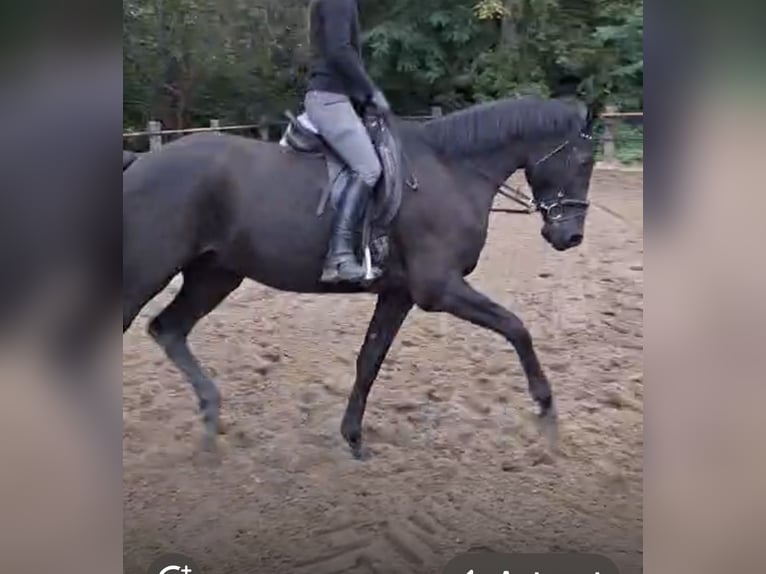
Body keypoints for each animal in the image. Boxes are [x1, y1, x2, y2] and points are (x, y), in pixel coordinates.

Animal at [122, 95, 601, 459]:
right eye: (583, 160)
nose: (571, 236)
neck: (451, 170)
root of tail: (139, 162)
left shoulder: (399, 294)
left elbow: (369, 359)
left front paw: (352, 437)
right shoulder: (439, 288)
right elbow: (516, 328)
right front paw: (546, 411)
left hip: (215, 275)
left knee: (168, 329)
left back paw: (210, 418)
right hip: (148, 271)